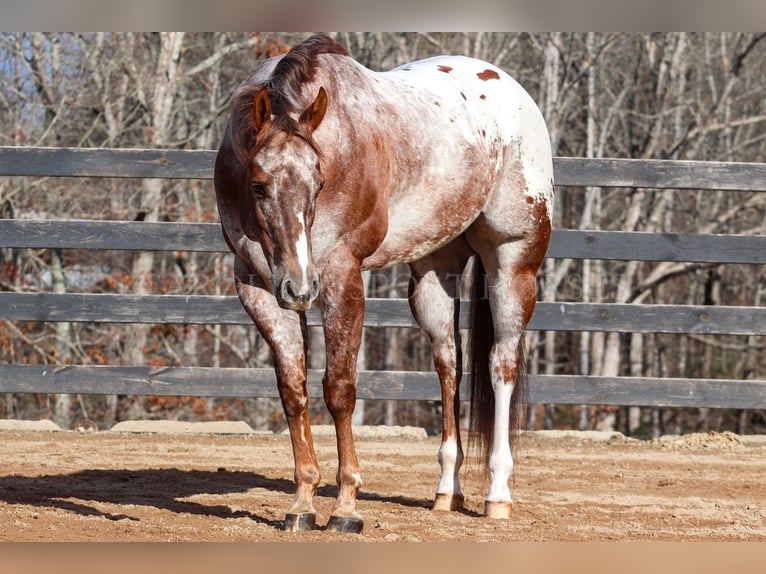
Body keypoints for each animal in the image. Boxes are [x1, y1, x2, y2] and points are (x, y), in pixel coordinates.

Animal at [213, 35, 556, 536]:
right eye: (258, 186)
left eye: (319, 182)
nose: (301, 288)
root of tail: (511, 90)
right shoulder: (257, 287)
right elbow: (293, 391)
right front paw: (302, 501)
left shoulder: (343, 278)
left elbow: (339, 390)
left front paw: (345, 505)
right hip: (432, 274)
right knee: (449, 365)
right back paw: (447, 490)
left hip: (513, 264)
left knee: (502, 364)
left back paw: (498, 493)